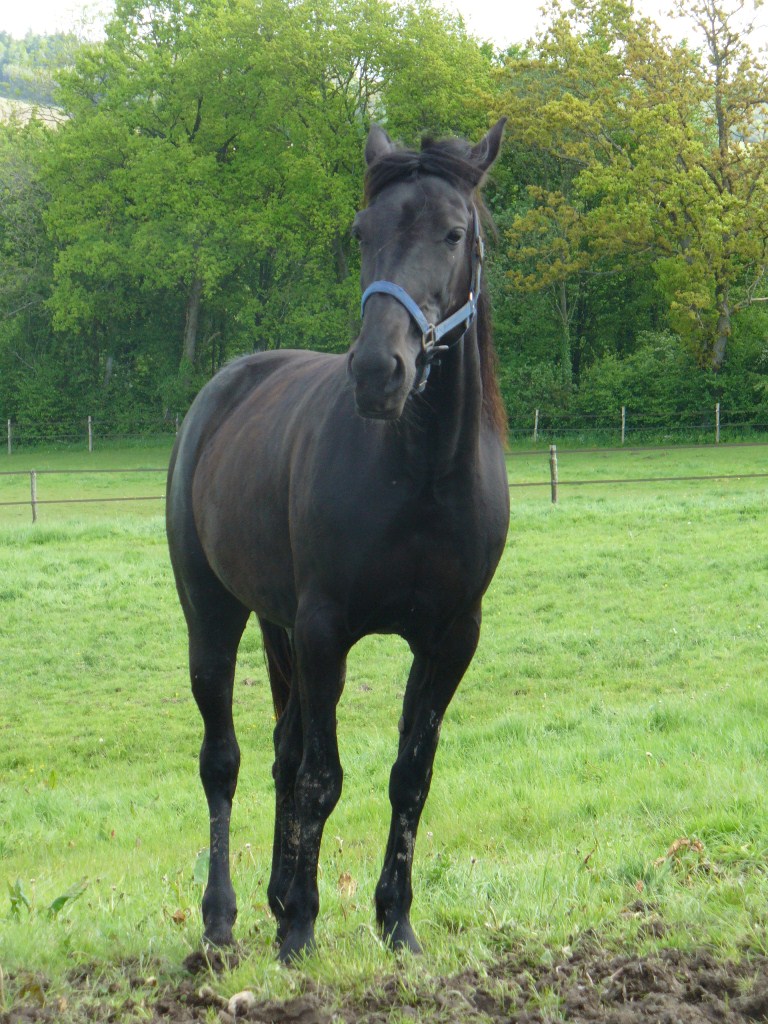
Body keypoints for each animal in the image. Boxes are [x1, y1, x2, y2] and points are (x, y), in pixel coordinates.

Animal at [166, 117, 510, 963]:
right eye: (363, 232)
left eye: (455, 233)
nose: (380, 370)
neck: (421, 475)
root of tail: (224, 387)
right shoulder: (327, 632)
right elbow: (324, 778)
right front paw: (300, 930)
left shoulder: (450, 639)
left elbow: (408, 775)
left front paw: (395, 923)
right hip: (215, 618)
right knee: (225, 762)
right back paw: (222, 918)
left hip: (277, 626)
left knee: (284, 755)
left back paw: (273, 894)